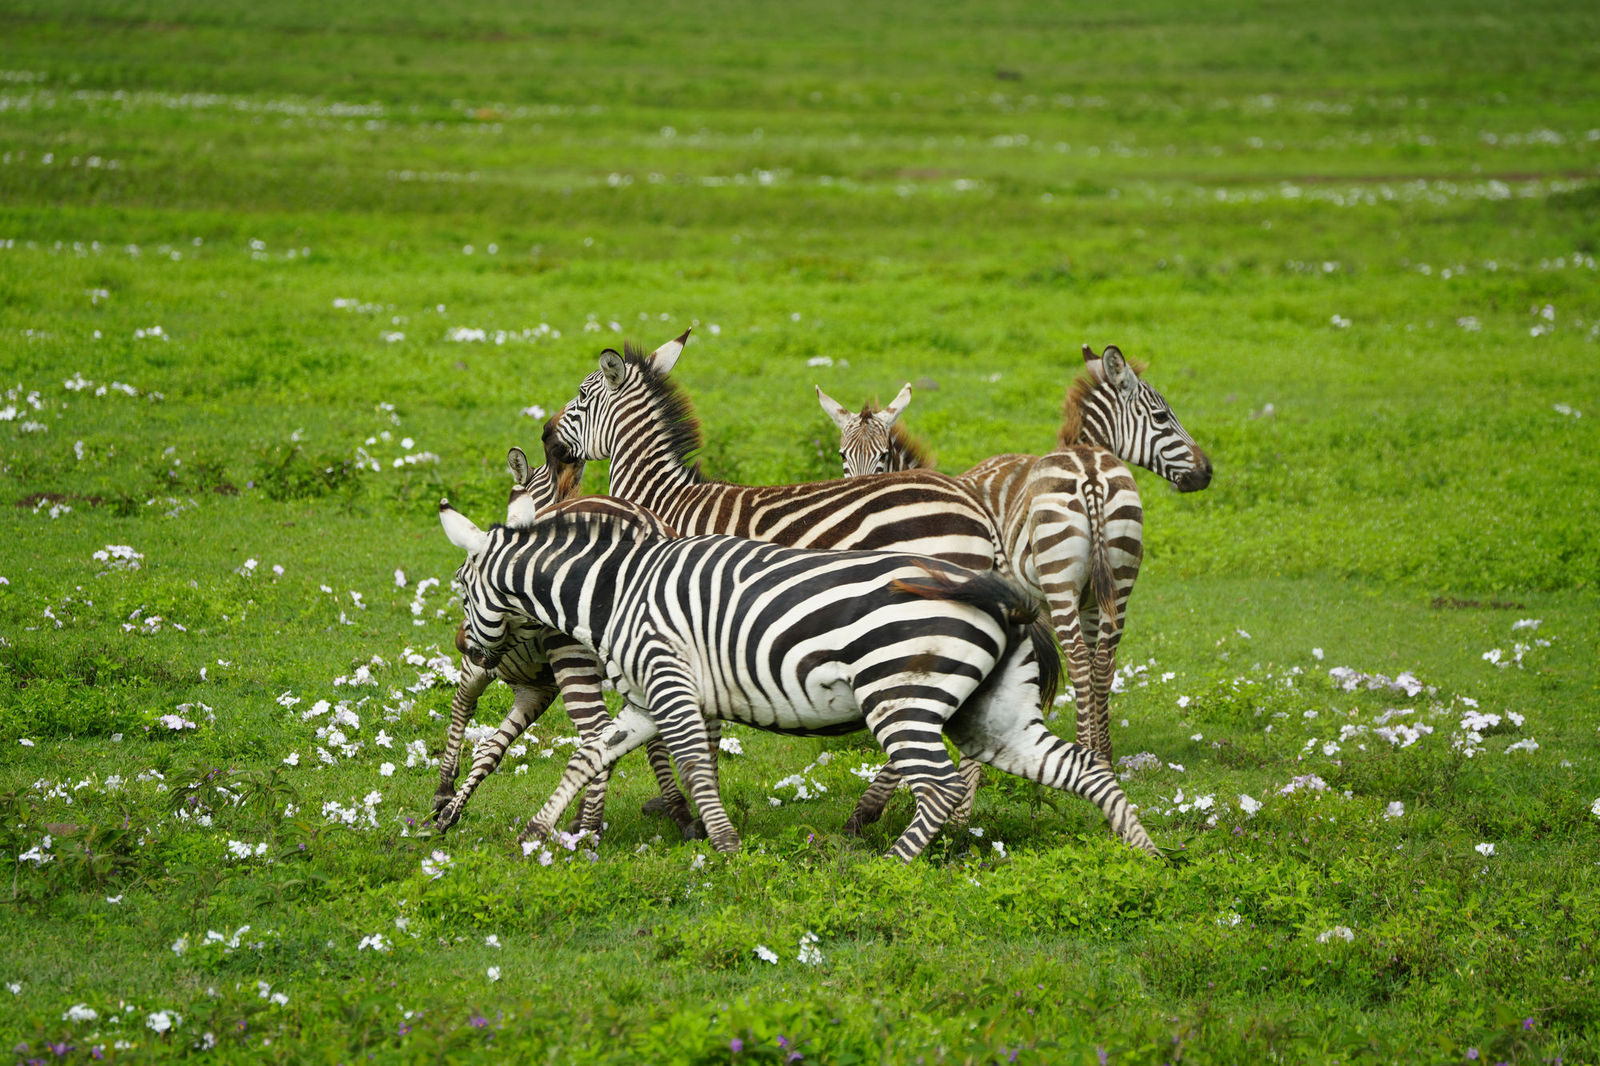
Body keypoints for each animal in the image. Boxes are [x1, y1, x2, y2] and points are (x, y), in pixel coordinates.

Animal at [431, 424, 702, 839]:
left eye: (462, 580)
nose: (460, 641)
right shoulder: (537, 689)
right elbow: (491, 750)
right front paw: (452, 808)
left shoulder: (490, 664)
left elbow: (464, 707)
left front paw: (445, 794)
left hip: (576, 655)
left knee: (597, 733)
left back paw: (582, 831)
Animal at [439, 497, 1162, 862]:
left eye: (461, 589)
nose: (466, 648)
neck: (618, 589)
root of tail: (1004, 595)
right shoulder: (646, 700)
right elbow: (588, 755)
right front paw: (536, 832)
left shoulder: (671, 682)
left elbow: (696, 767)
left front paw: (727, 847)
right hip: (991, 715)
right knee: (1081, 769)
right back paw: (1145, 853)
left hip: (901, 698)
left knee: (938, 786)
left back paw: (887, 869)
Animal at [817, 344, 1210, 778]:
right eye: (1162, 417)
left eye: (883, 456)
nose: (1206, 472)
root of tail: (1090, 472)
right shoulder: (1084, 601)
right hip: (1117, 579)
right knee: (1102, 659)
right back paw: (1100, 755)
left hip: (1060, 581)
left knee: (1077, 657)